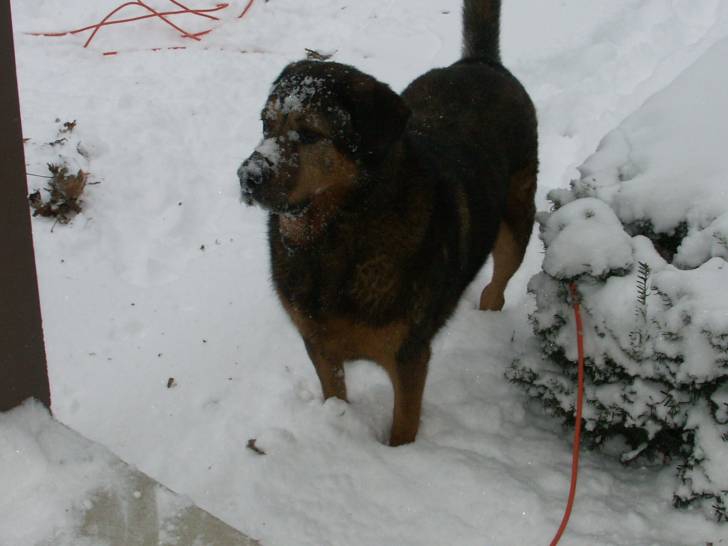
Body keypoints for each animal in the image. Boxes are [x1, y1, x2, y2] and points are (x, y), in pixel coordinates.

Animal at [238, 0, 537, 446]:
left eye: (309, 133)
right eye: (265, 124)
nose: (248, 177)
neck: (337, 233)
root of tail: (480, 62)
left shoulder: (408, 355)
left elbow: (403, 427)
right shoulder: (319, 344)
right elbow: (335, 395)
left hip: (517, 221)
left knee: (499, 281)